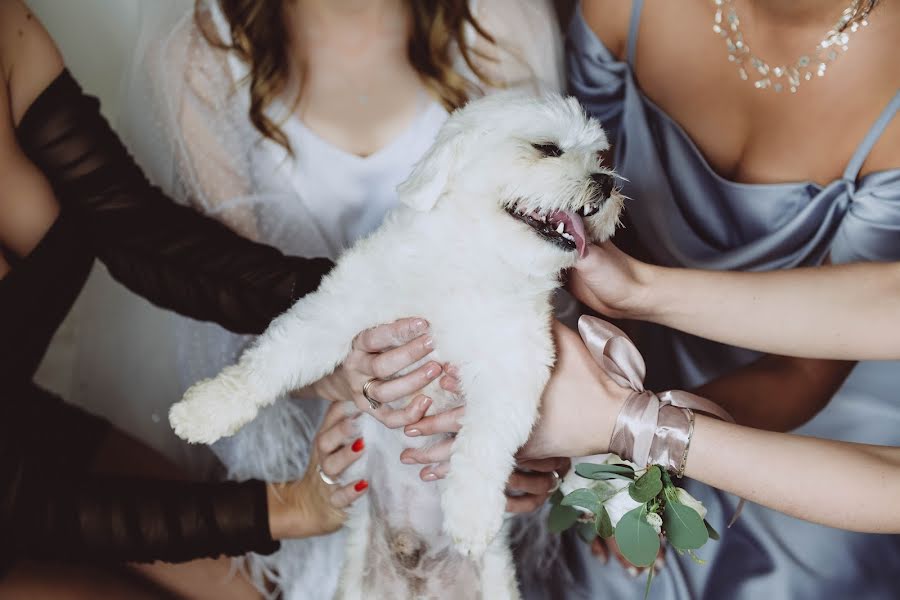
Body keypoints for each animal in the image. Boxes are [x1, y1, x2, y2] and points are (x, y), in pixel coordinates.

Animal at [171, 91, 620, 596]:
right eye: (547, 149)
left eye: (600, 157)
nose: (606, 182)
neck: (472, 266)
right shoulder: (338, 313)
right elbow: (272, 361)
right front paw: (207, 409)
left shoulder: (515, 366)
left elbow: (485, 441)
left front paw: (471, 512)